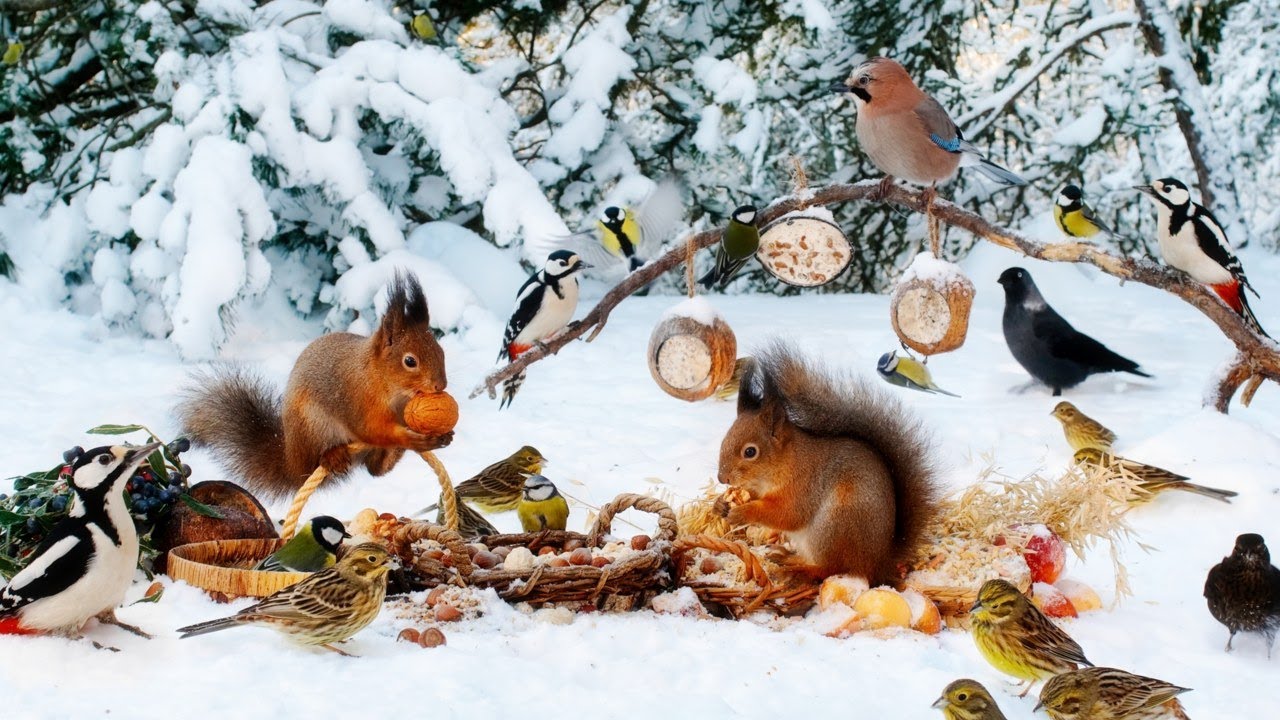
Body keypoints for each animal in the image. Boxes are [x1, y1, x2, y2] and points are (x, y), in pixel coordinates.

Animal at [176, 271, 452, 499]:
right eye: (410, 361)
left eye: (441, 351)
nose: (441, 385)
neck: (384, 382)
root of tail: (291, 459)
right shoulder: (356, 399)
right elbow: (372, 429)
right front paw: (413, 438)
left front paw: (439, 435)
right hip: (313, 427)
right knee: (316, 464)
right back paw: (332, 456)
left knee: (375, 469)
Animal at [715, 341, 940, 585]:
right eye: (724, 439)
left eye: (750, 451)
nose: (722, 478)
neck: (786, 462)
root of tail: (879, 562)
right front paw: (720, 504)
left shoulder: (803, 486)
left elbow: (786, 514)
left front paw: (742, 513)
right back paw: (787, 558)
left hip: (832, 527)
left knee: (832, 568)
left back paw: (798, 572)